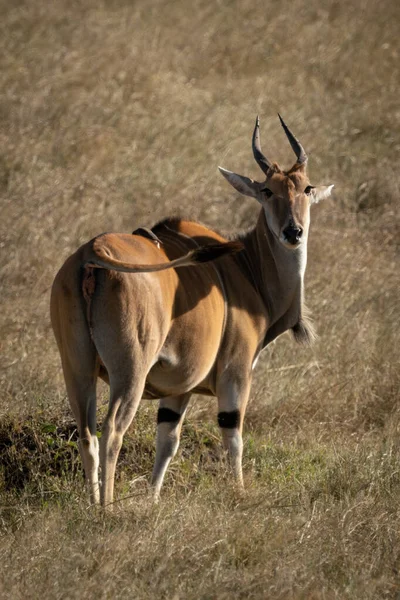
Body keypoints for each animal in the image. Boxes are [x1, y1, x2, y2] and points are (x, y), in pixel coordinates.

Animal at [50, 116, 334, 506]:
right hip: (130, 371)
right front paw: (239, 491)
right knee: (111, 431)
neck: (246, 268)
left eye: (305, 188)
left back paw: (93, 504)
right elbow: (233, 437)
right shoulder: (235, 375)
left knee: (87, 434)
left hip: (77, 367)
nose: (293, 231)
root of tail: (91, 253)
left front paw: (152, 499)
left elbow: (167, 442)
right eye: (266, 191)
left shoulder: (178, 390)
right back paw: (108, 508)